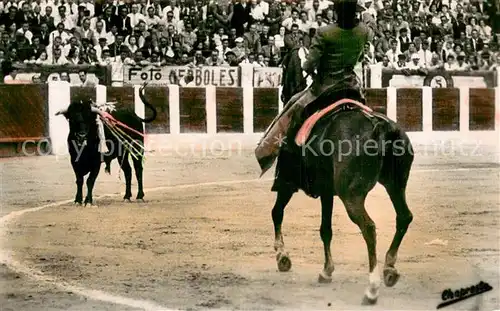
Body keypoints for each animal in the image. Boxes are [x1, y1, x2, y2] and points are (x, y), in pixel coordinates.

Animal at [272, 48, 416, 304]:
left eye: (284, 67)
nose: (282, 94)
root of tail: (380, 127)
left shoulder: (287, 183)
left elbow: (277, 212)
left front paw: (283, 257)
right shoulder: (327, 191)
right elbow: (325, 229)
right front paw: (326, 271)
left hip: (352, 196)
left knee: (369, 227)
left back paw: (372, 288)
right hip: (395, 185)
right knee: (404, 217)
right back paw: (389, 268)